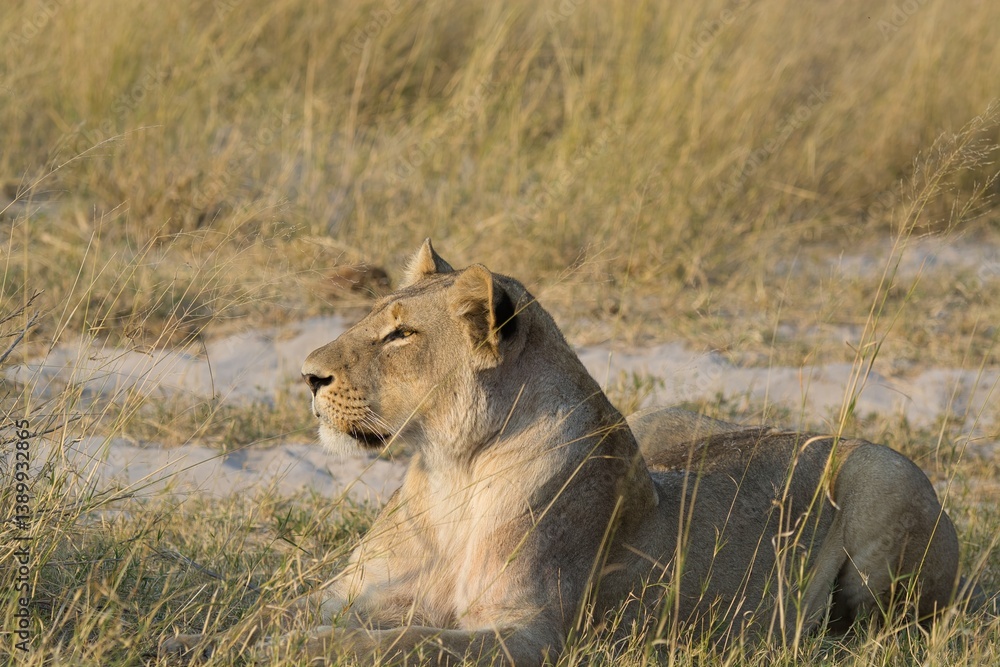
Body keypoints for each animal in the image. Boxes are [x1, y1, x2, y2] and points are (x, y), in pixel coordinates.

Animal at [161, 239, 966, 665]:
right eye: (371, 318)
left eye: (401, 334)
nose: (308, 375)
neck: (451, 473)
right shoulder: (351, 589)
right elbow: (265, 611)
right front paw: (192, 636)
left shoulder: (531, 630)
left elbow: (399, 640)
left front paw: (310, 646)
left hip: (882, 478)